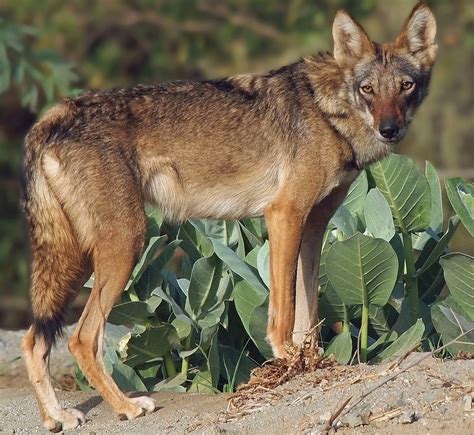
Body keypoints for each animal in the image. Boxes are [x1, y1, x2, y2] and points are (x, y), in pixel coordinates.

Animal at [22, 2, 436, 432]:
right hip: (123, 246)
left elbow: (308, 313)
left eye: (405, 86)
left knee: (33, 340)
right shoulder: (284, 214)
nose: (389, 129)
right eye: (368, 89)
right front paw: (288, 361)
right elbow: (283, 314)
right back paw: (126, 406)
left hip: (78, 259)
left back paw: (57, 417)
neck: (328, 111)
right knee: (81, 339)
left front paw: (312, 363)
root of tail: (51, 116)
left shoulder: (314, 227)